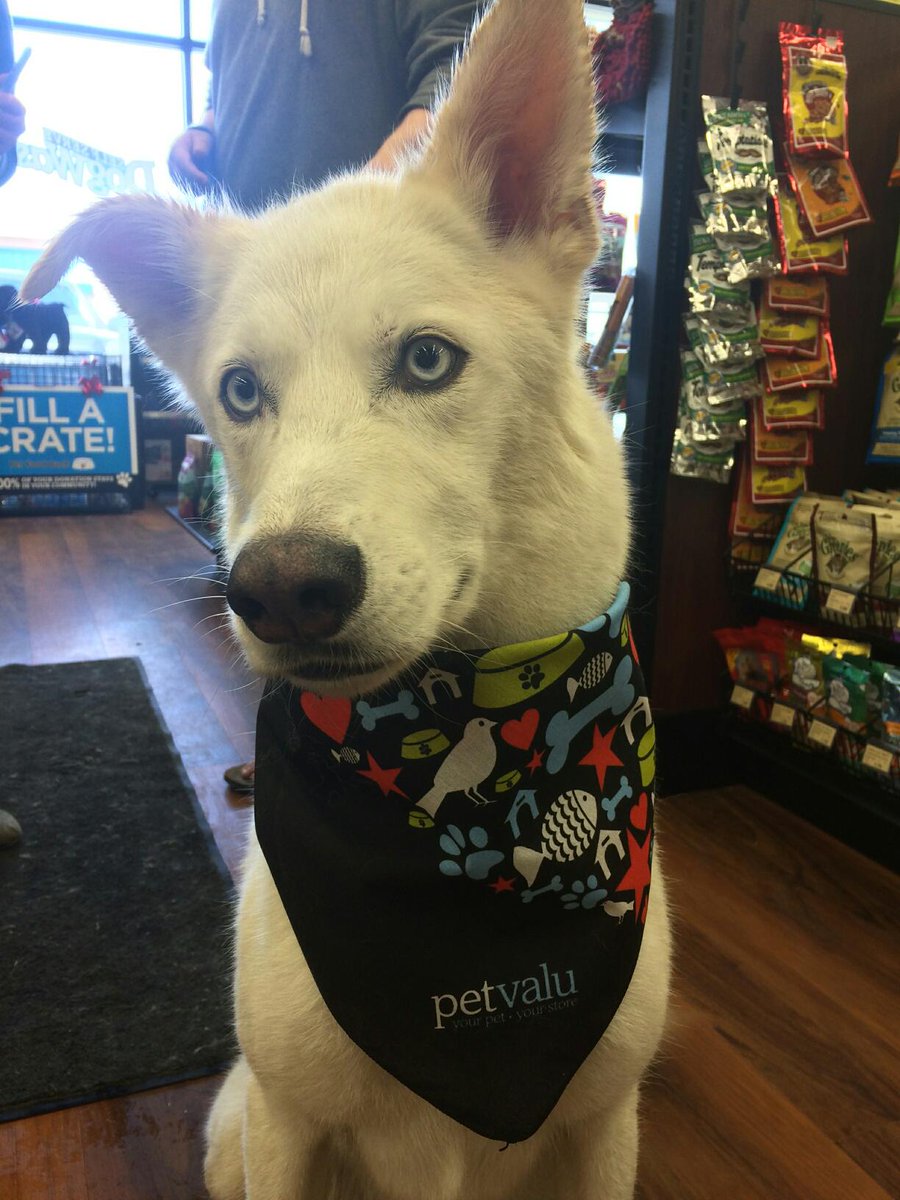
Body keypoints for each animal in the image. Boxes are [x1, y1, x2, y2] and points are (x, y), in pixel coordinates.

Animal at [21, 0, 672, 1195]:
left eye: (427, 362)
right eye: (239, 392)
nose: (278, 590)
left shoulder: (607, 1128)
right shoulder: (290, 1127)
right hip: (235, 1127)